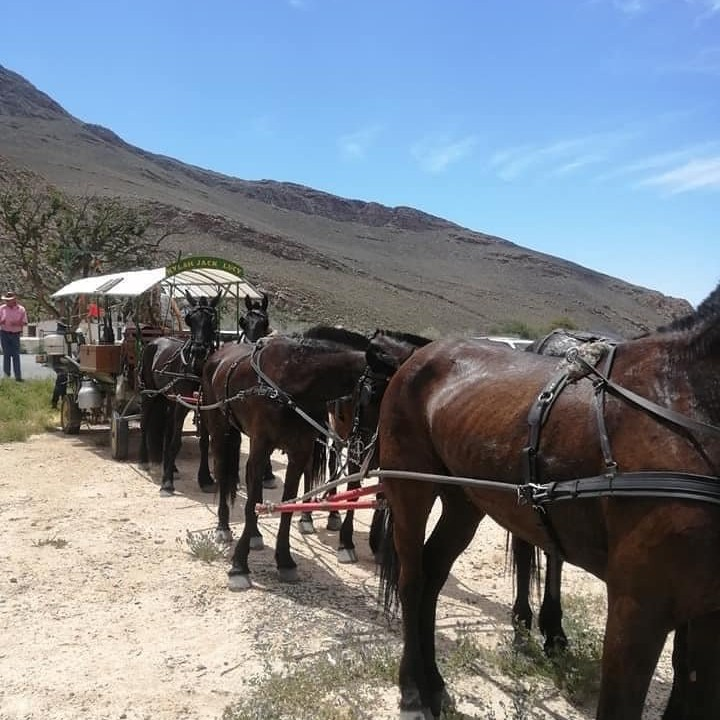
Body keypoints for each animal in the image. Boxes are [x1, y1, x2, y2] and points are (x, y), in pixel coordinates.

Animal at [137, 290, 221, 492]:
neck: (197, 369)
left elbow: (204, 442)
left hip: (168, 398)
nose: (198, 350)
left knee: (167, 430)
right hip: (150, 394)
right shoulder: (182, 405)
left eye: (212, 320)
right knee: (145, 424)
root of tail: (154, 340)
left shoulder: (204, 406)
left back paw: (171, 465)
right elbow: (176, 441)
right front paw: (167, 483)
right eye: (190, 319)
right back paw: (144, 460)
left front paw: (205, 478)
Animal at [202, 326, 372, 592]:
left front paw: (285, 561)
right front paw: (239, 566)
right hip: (220, 429)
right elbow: (251, 504)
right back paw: (223, 527)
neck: (291, 383)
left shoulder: (299, 453)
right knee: (222, 472)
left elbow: (287, 505)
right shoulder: (261, 446)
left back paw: (254, 535)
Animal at [374, 282, 720, 720]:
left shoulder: (708, 614)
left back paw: (433, 682)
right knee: (412, 580)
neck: (682, 400)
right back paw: (412, 690)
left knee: (433, 573)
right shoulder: (638, 607)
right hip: (410, 487)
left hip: (464, 501)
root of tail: (419, 355)